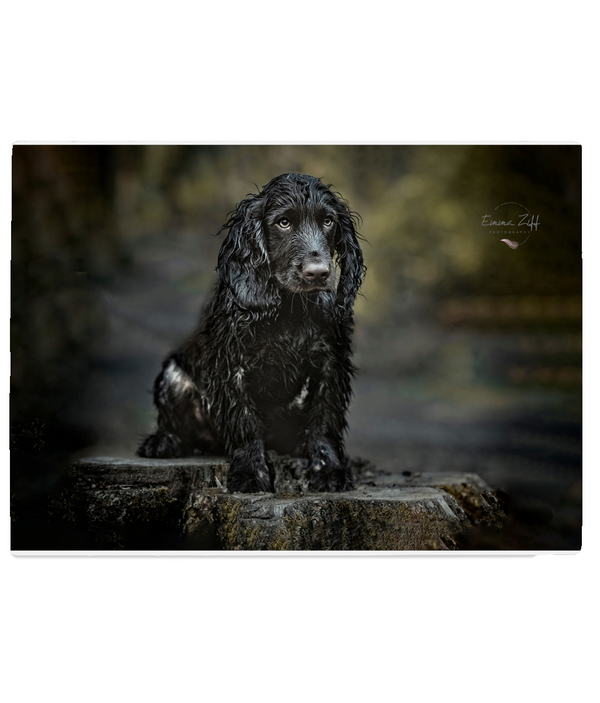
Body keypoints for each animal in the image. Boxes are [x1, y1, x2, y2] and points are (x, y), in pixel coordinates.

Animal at [138, 173, 366, 492]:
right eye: (283, 223)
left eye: (328, 221)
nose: (318, 273)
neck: (290, 311)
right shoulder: (231, 366)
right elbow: (244, 421)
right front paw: (249, 472)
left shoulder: (330, 364)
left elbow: (324, 421)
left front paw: (329, 469)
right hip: (174, 376)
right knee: (174, 425)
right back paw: (161, 442)